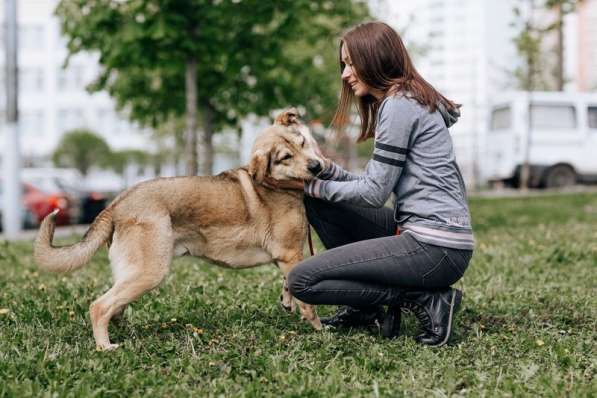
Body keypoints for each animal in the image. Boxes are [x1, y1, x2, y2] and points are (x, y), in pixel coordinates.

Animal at [35, 109, 324, 352]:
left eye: (301, 142)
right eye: (285, 157)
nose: (316, 167)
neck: (277, 184)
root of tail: (117, 203)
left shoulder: (286, 257)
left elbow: (288, 284)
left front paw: (287, 300)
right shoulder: (290, 254)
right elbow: (308, 304)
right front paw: (319, 328)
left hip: (133, 273)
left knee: (115, 308)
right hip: (150, 271)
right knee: (100, 306)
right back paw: (105, 346)